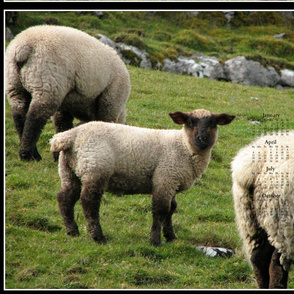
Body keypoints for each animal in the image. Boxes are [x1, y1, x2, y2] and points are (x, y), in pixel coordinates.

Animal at [4, 24, 130, 163]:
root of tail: (23, 47)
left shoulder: (65, 103)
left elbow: (62, 124)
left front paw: (60, 154)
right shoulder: (110, 101)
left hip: (15, 85)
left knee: (19, 115)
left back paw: (30, 152)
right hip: (47, 84)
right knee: (35, 118)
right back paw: (28, 155)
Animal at [50, 108, 234, 246]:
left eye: (213, 123)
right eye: (190, 122)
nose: (202, 139)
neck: (183, 146)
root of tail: (70, 136)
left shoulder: (172, 182)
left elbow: (171, 209)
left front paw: (171, 237)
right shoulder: (164, 178)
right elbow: (161, 210)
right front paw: (155, 240)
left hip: (69, 169)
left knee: (65, 197)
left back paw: (72, 231)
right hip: (95, 168)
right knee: (89, 202)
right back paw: (98, 237)